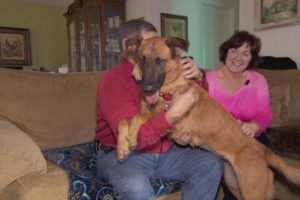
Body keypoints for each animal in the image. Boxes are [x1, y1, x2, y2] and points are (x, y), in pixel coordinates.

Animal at [116, 36, 300, 200]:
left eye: (160, 61)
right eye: (141, 59)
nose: (146, 88)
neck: (169, 88)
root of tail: (264, 150)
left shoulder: (172, 119)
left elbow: (139, 117)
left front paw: (133, 135)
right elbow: (123, 120)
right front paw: (121, 148)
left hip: (251, 191)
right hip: (235, 185)